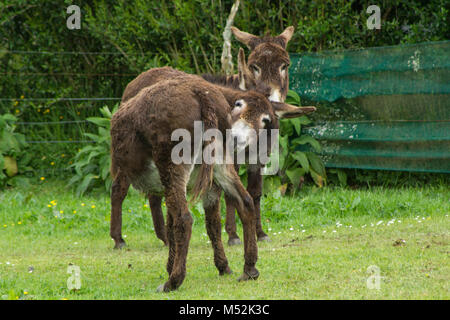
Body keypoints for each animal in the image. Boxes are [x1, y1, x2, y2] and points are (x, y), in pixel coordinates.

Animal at [110, 75, 284, 292]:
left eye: (266, 122)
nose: (263, 157)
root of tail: (202, 95)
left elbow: (173, 222)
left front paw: (170, 268)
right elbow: (202, 223)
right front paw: (222, 266)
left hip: (172, 165)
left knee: (184, 218)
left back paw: (173, 281)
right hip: (219, 163)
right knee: (245, 202)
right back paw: (249, 269)